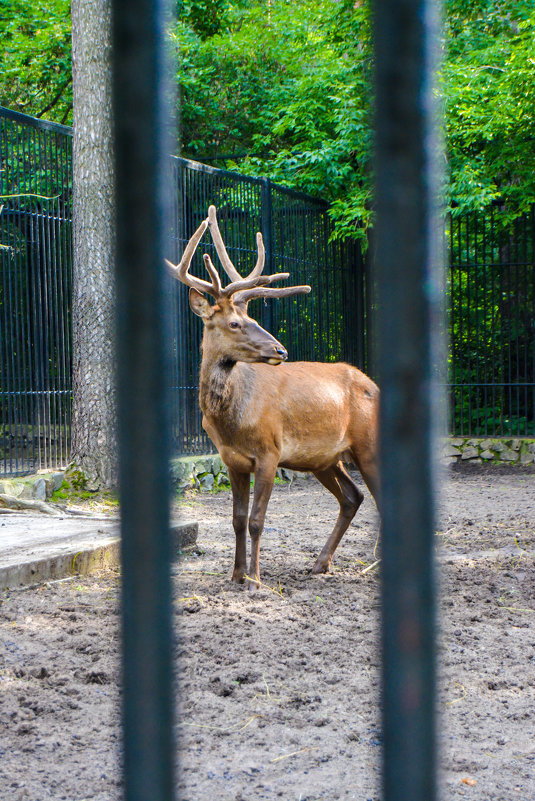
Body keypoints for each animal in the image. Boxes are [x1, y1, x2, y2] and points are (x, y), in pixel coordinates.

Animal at [168, 203, 382, 592]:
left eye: (250, 315)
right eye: (235, 323)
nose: (280, 349)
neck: (231, 420)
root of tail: (373, 384)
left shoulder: (269, 451)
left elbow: (257, 520)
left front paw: (255, 579)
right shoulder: (232, 460)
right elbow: (237, 519)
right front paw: (235, 576)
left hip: (367, 443)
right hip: (326, 458)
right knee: (353, 497)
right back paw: (320, 564)